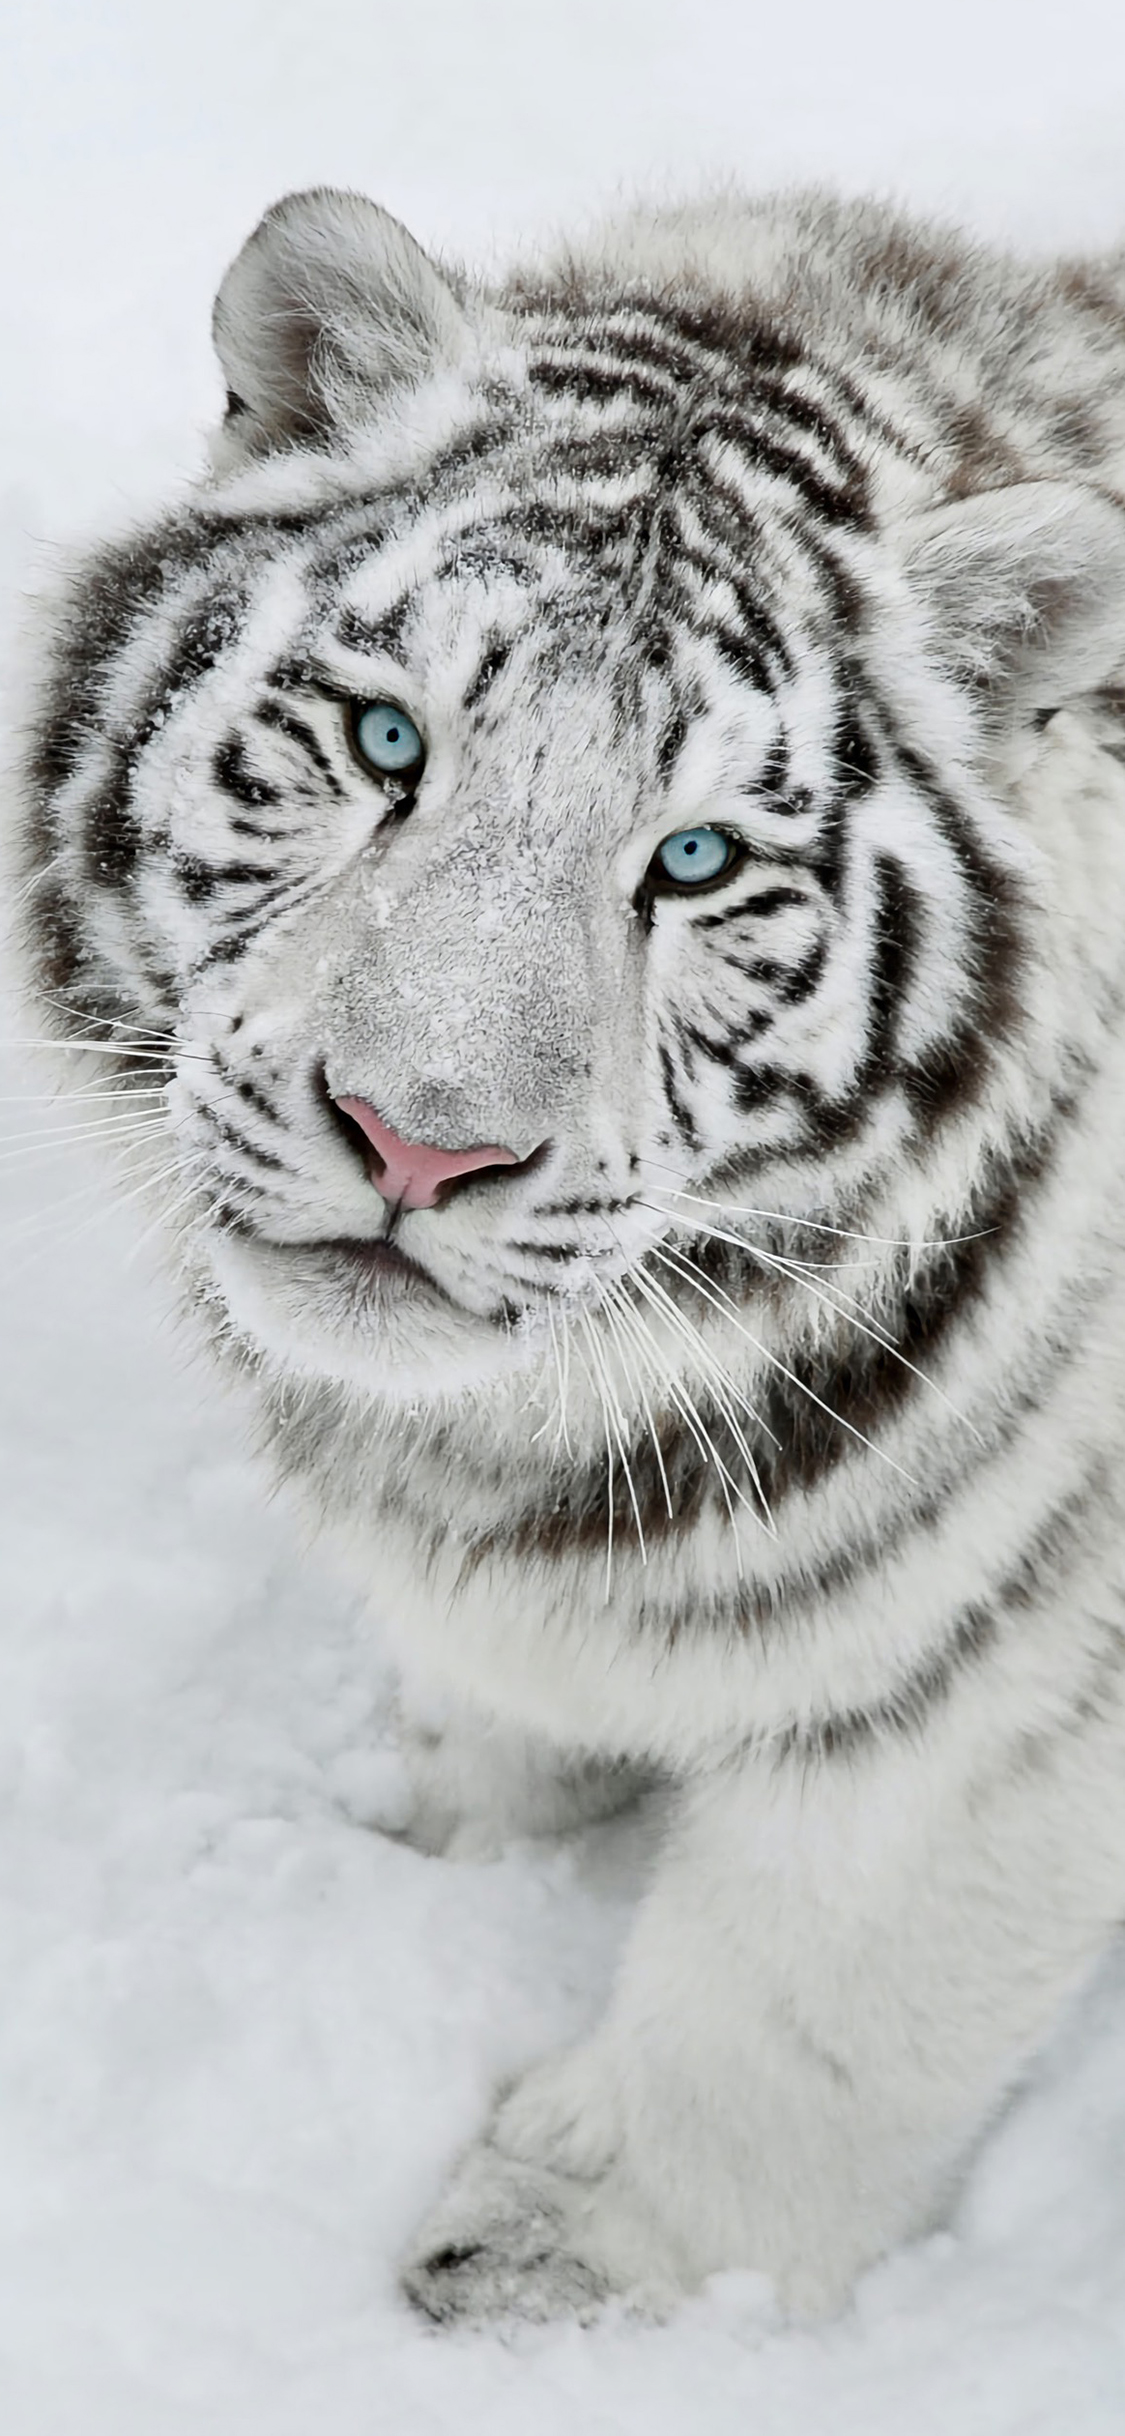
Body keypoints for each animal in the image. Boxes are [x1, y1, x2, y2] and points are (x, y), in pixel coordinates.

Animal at [15, 181, 1125, 2326]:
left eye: (695, 862)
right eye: (384, 741)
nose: (417, 1136)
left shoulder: (998, 1697)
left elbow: (808, 2017)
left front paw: (559, 2275)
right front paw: (449, 1844)